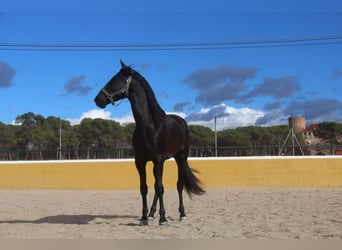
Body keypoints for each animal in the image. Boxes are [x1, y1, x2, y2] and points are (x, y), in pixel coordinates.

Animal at [94, 61, 203, 227]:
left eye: (116, 79)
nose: (97, 99)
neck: (149, 125)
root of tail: (181, 122)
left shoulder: (158, 160)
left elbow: (161, 187)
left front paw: (163, 219)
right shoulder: (141, 161)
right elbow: (144, 188)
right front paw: (144, 218)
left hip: (180, 158)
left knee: (178, 185)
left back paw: (182, 214)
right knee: (157, 187)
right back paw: (152, 214)